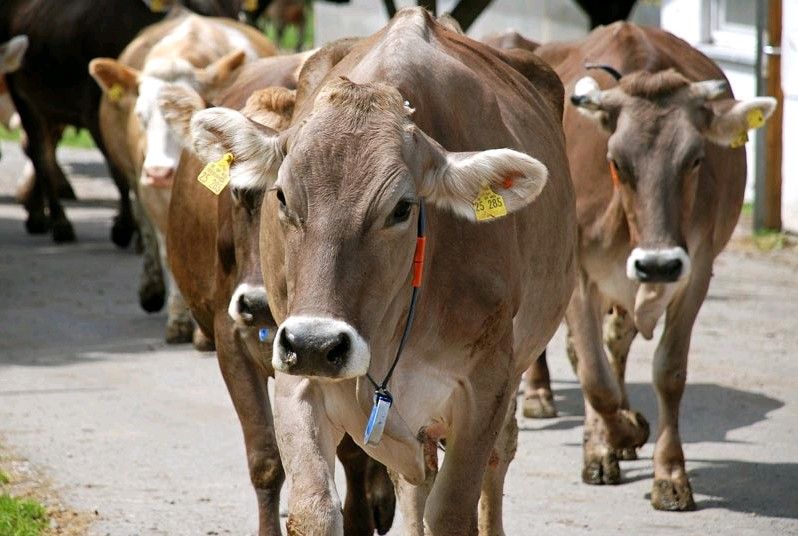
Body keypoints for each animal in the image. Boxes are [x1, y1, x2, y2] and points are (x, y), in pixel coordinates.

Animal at [189, 8, 576, 534]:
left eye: (402, 208)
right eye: (283, 195)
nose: (317, 344)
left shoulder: (485, 387)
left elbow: (453, 510)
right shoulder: (296, 378)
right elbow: (313, 507)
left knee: (498, 457)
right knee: (416, 481)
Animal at [525, 22, 776, 510]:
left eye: (696, 159)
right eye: (616, 162)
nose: (657, 264)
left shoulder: (695, 270)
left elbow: (668, 371)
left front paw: (670, 474)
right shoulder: (578, 272)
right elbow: (594, 376)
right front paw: (623, 431)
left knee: (614, 341)